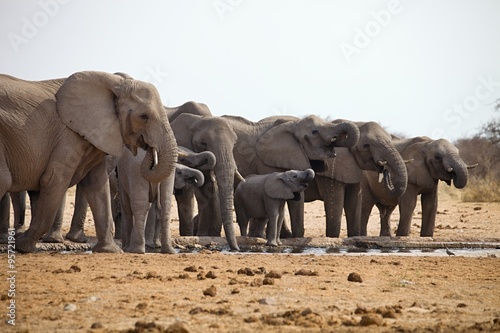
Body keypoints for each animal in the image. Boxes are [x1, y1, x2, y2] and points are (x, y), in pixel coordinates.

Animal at [0, 70, 178, 252]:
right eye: (144, 117)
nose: (149, 148)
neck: (114, 82)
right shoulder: (68, 136)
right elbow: (54, 179)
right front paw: (23, 246)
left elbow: (97, 185)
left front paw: (110, 250)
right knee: (5, 181)